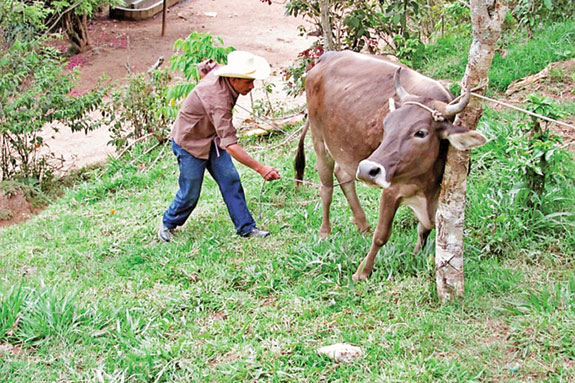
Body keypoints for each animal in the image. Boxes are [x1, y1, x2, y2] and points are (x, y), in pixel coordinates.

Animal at [296, 51, 486, 282]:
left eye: (420, 133)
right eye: (386, 125)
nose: (367, 170)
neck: (426, 186)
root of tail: (328, 55)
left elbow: (424, 230)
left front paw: (415, 255)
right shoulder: (391, 191)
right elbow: (382, 235)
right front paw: (362, 272)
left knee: (343, 175)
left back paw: (363, 225)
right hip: (319, 141)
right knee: (326, 188)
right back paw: (325, 232)